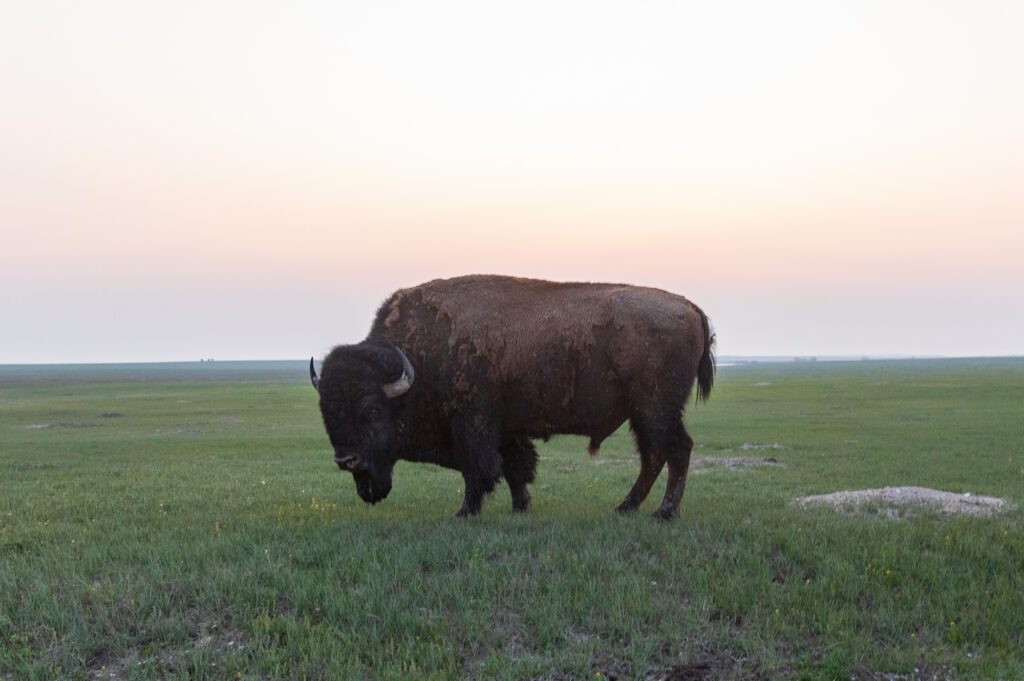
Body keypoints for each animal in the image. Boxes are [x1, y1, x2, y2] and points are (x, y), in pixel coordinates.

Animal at [310, 275, 714, 518]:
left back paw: (664, 513)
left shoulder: (473, 425)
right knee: (653, 456)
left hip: (656, 409)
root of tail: (689, 306)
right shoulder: (506, 430)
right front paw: (521, 507)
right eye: (326, 413)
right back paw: (625, 507)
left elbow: (479, 468)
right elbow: (515, 467)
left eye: (373, 409)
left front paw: (465, 512)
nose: (346, 459)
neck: (421, 359)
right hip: (641, 414)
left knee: (677, 449)